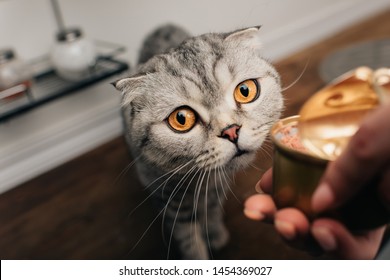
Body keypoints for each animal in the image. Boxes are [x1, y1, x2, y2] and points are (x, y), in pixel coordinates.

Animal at [112, 24, 284, 260]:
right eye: (181, 119)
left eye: (245, 91)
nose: (231, 131)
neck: (202, 181)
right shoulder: (170, 198)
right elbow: (188, 237)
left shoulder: (217, 187)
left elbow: (211, 211)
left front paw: (215, 234)